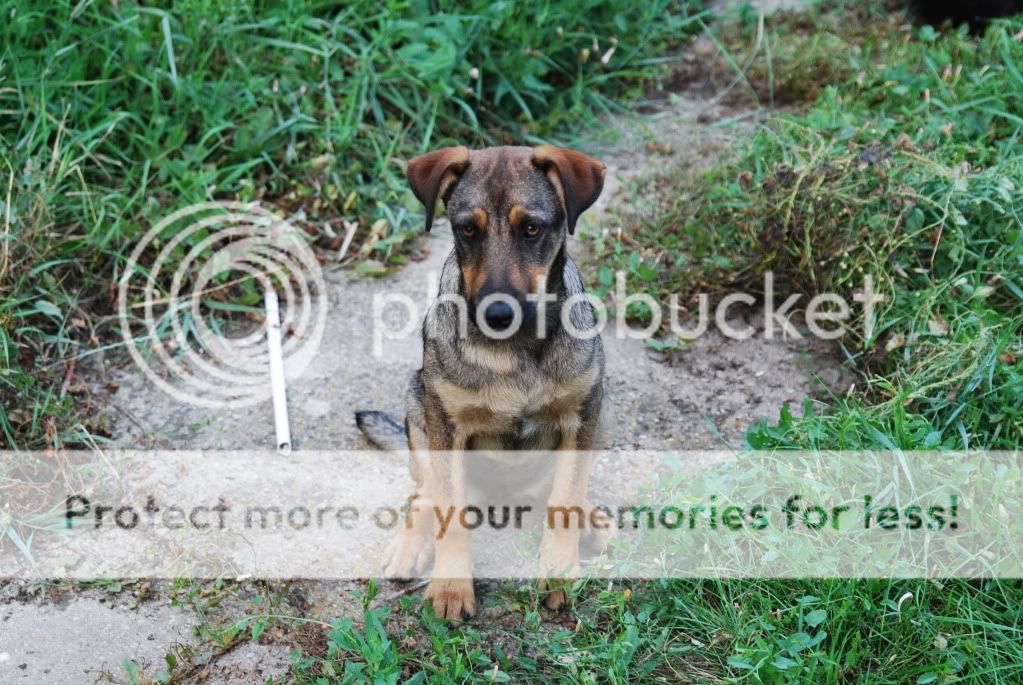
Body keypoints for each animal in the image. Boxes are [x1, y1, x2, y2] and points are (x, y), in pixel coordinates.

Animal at [358, 145, 605, 621]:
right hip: (417, 405)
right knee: (424, 493)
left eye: (532, 228)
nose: (497, 314)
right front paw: (452, 587)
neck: (516, 349)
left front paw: (558, 570)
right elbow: (449, 516)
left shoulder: (582, 412)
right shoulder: (447, 425)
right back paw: (410, 544)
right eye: (467, 230)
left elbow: (565, 495)